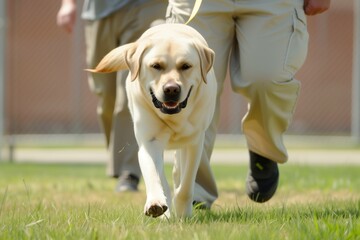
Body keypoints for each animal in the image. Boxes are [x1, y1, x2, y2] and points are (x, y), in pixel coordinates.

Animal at [87, 23, 217, 218]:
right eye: (156, 66)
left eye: (186, 66)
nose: (171, 89)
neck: (173, 117)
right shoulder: (149, 142)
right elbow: (154, 174)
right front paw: (156, 203)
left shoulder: (194, 144)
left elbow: (186, 185)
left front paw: (183, 211)